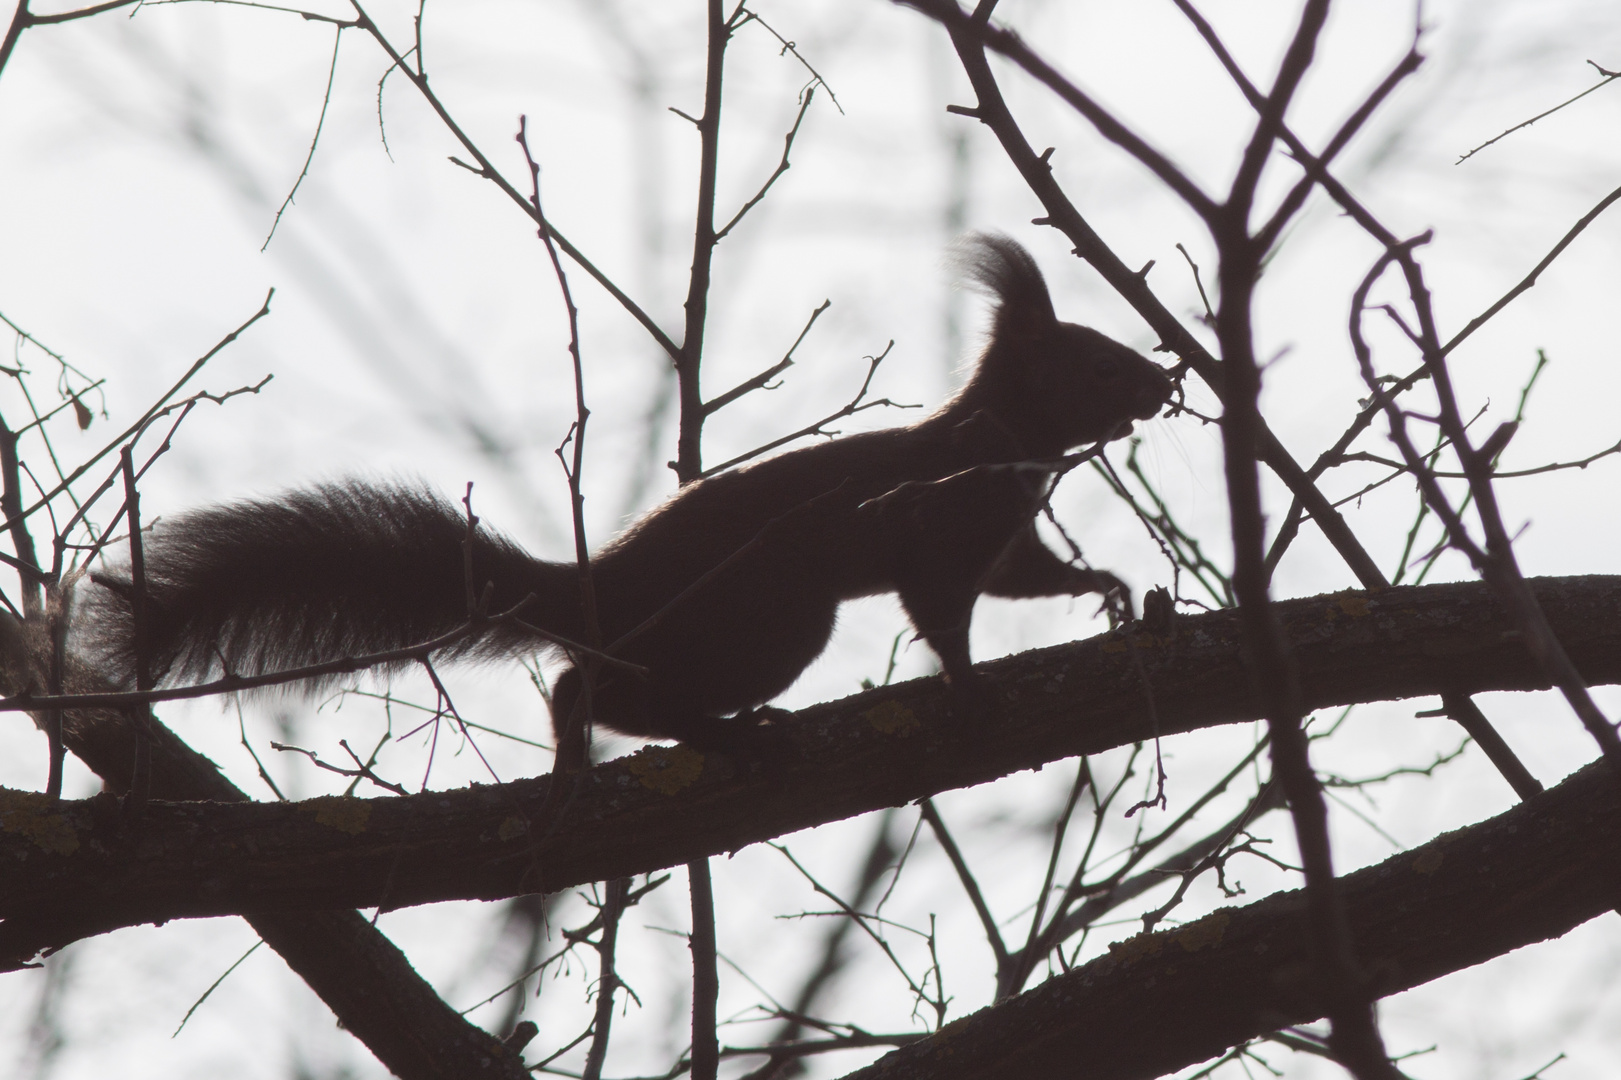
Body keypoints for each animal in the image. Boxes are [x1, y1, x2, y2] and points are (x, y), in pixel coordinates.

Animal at [82, 233, 1173, 755]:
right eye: (1098, 364)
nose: (1162, 383)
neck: (1010, 442)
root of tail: (597, 584)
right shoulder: (936, 518)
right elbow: (942, 610)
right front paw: (969, 683)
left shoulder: (1002, 533)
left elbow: (1025, 578)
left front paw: (1105, 587)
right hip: (769, 620)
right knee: (591, 687)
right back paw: (676, 731)